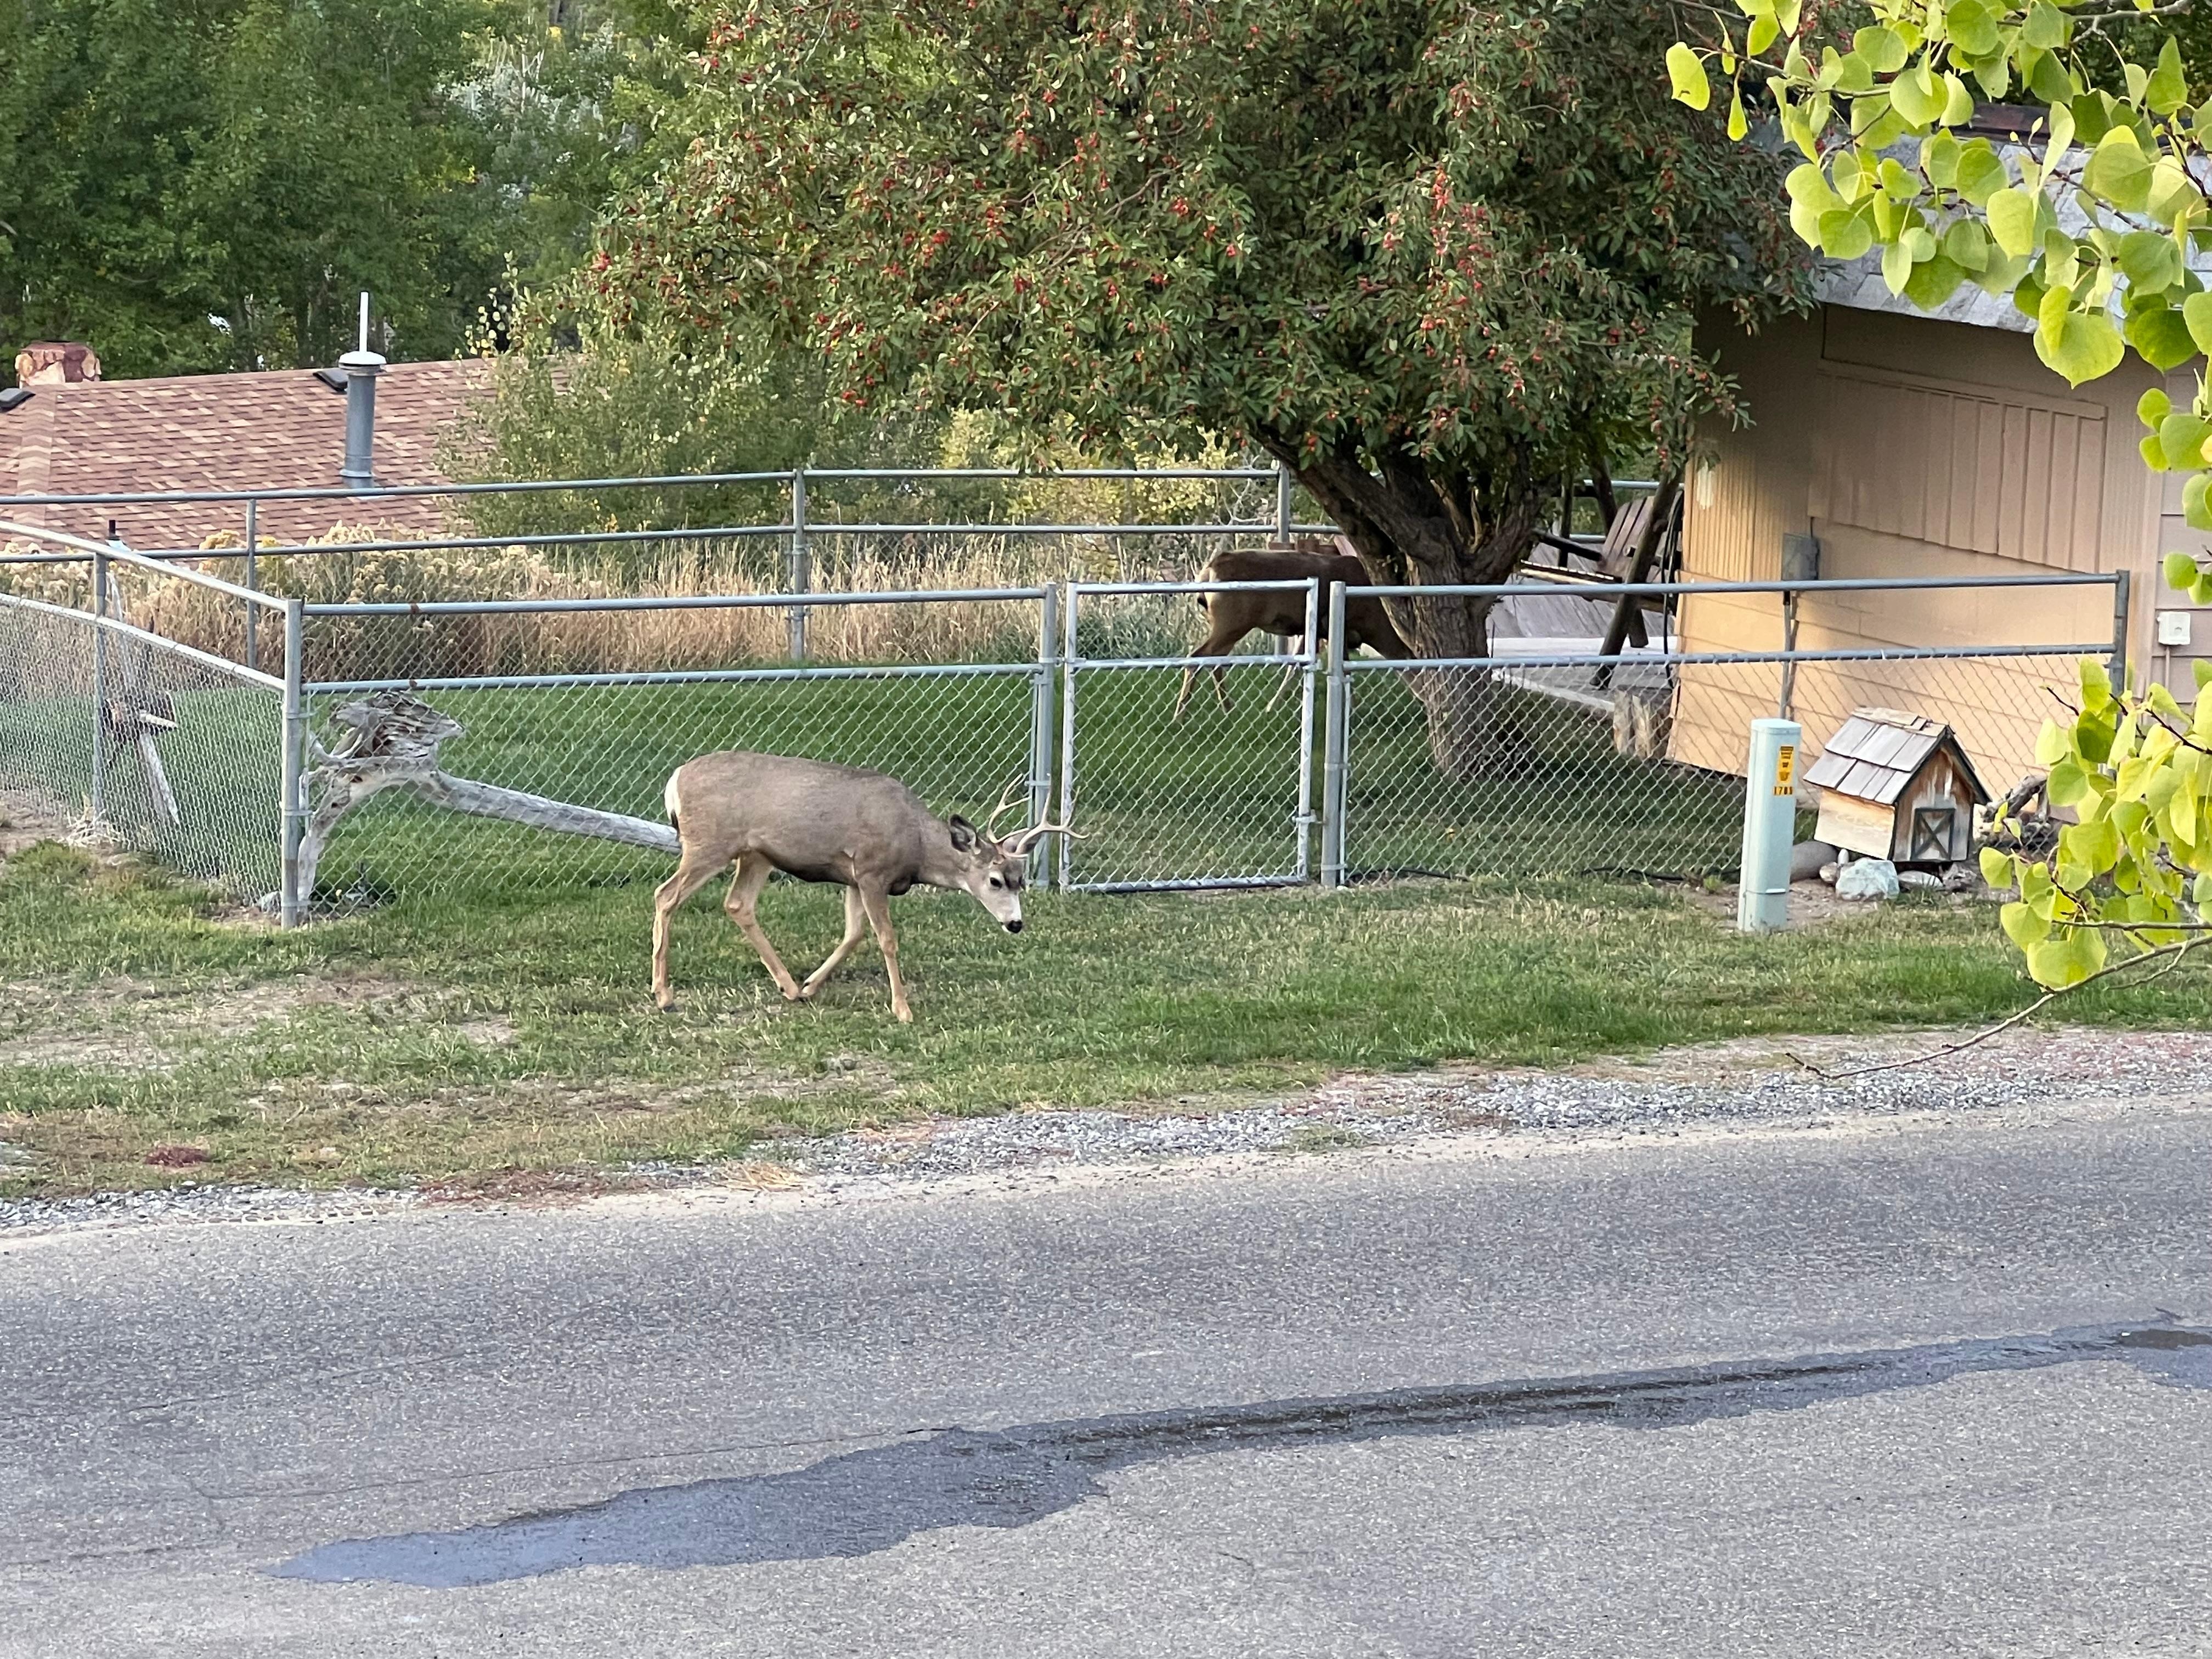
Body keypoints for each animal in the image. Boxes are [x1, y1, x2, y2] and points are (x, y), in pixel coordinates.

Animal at [651, 755, 1078, 1023]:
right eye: (994, 880)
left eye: (1021, 880)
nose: (1016, 924)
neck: (916, 844)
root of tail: (674, 780)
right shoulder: (873, 872)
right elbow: (886, 938)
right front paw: (903, 1009)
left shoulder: (854, 878)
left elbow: (854, 933)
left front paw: (811, 985)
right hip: (710, 843)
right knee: (666, 895)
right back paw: (664, 995)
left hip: (755, 853)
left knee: (738, 904)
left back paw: (790, 987)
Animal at [1172, 537, 1416, 722]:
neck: (1373, 617)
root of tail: (1209, 570)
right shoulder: (1337, 626)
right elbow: (1342, 669)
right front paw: (1351, 710)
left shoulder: (1315, 630)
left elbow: (1297, 664)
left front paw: (1272, 706)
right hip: (1233, 621)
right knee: (1197, 656)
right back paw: (1180, 716)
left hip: (1227, 624)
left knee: (1215, 660)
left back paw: (1228, 709)